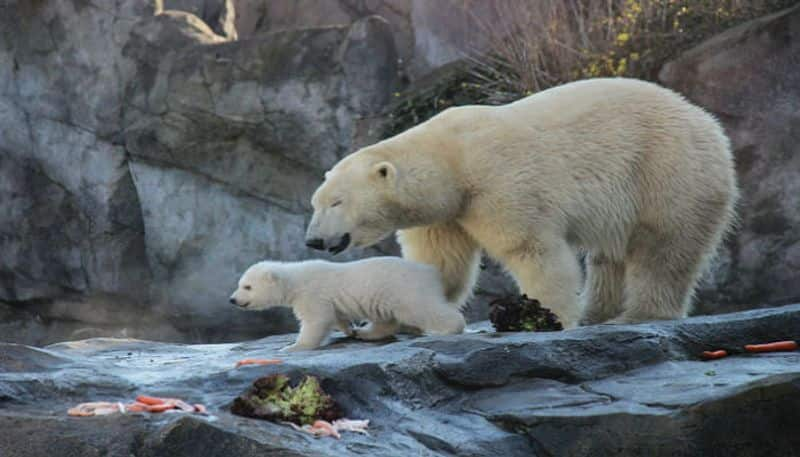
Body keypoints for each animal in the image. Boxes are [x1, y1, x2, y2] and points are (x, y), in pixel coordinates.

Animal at [304, 78, 736, 328]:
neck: (453, 159)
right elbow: (440, 262)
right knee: (610, 256)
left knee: (664, 247)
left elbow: (530, 247)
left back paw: (638, 313)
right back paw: (598, 312)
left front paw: (549, 315)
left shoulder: (499, 181)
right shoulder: (447, 213)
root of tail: (707, 121)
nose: (313, 240)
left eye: (336, 202)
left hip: (666, 168)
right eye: (316, 202)